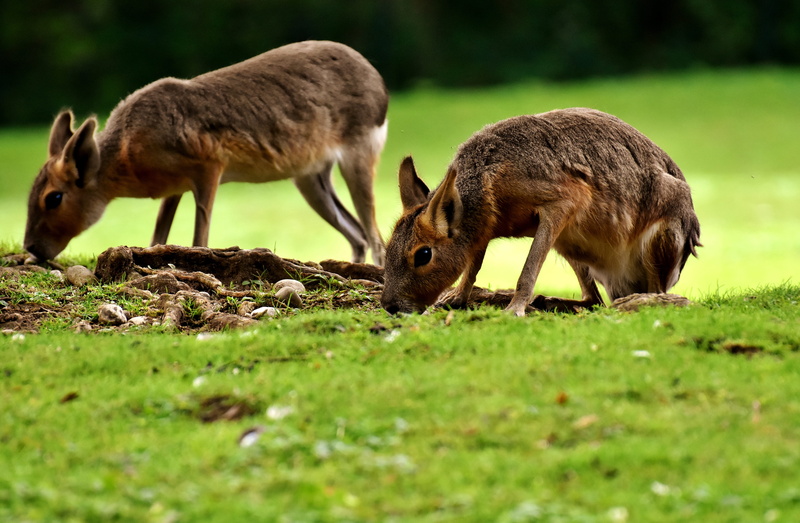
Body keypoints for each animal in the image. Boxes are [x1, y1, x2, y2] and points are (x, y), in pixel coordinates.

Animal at [24, 40, 388, 266]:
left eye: (53, 198)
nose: (30, 248)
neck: (129, 149)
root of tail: (378, 80)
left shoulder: (210, 167)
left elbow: (201, 237)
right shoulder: (173, 189)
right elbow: (158, 235)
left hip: (359, 155)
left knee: (375, 238)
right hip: (310, 178)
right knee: (358, 235)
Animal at [381, 108, 701, 316]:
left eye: (423, 254)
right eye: (387, 249)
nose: (389, 306)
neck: (488, 176)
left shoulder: (563, 202)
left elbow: (529, 268)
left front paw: (514, 308)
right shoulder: (486, 227)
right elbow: (474, 264)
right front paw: (455, 297)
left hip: (660, 240)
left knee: (659, 293)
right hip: (569, 245)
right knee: (593, 300)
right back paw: (553, 302)